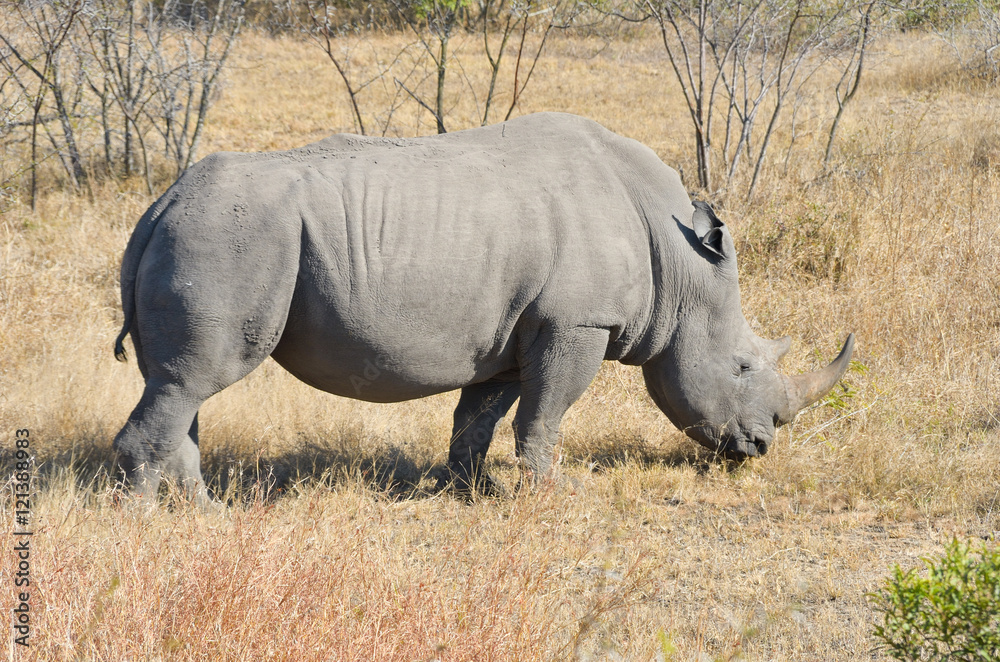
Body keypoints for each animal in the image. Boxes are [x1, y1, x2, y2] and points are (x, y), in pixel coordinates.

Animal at [112, 112, 854, 503]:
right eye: (741, 368)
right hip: (227, 238)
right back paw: (163, 520)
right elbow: (546, 410)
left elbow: (481, 415)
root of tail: (159, 205)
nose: (760, 446)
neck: (679, 265)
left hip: (207, 234)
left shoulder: (511, 331)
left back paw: (202, 509)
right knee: (197, 378)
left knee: (182, 384)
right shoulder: (575, 322)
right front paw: (549, 493)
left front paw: (468, 491)